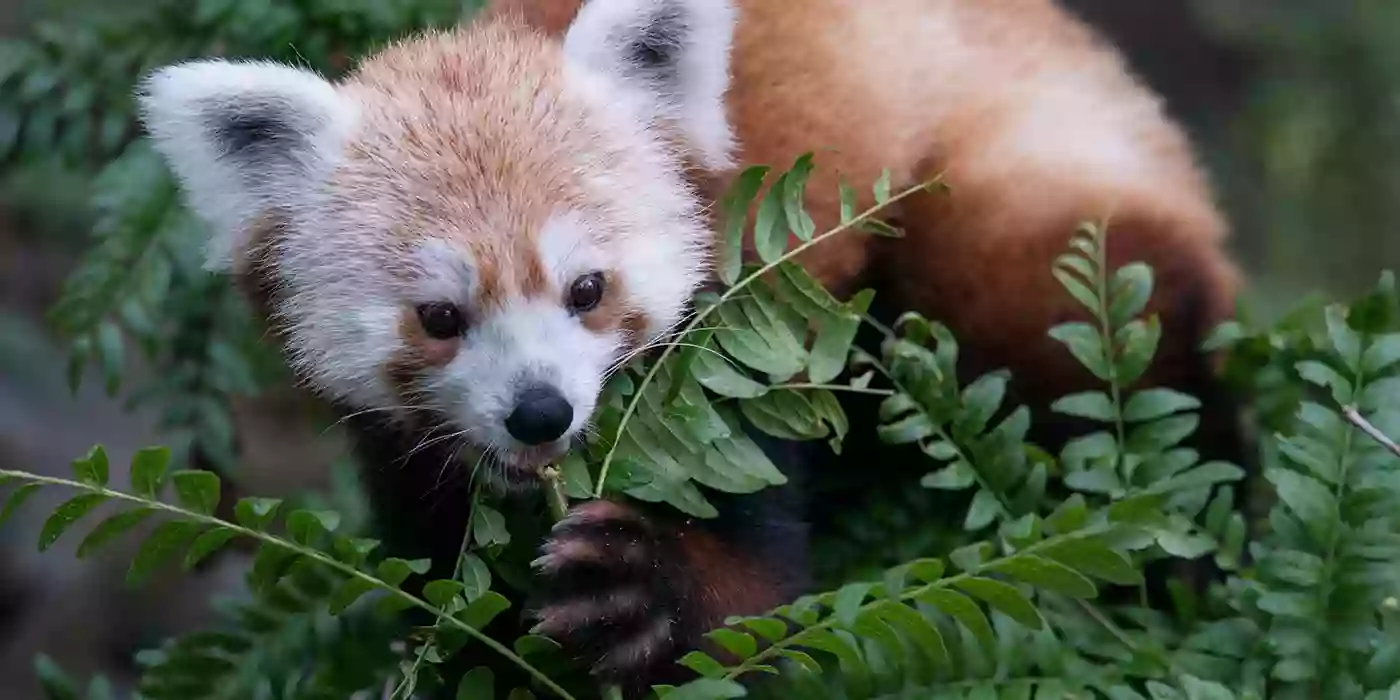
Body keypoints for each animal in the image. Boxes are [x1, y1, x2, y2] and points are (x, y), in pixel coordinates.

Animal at [131, 0, 1248, 691]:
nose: (540, 411)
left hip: (1012, 198)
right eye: (441, 317)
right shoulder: (414, 466)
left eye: (587, 290)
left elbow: (753, 600)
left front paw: (640, 593)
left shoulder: (750, 349)